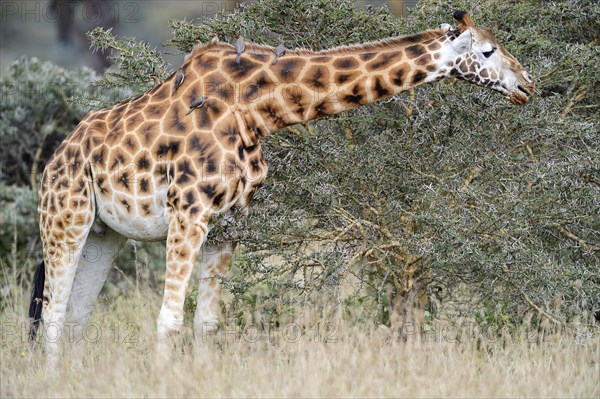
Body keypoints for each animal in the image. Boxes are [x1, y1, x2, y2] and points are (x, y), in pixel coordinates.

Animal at [28, 10, 536, 360]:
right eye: (487, 52)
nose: (528, 84)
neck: (258, 109)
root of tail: (54, 161)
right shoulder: (188, 212)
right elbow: (169, 319)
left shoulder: (230, 223)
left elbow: (207, 323)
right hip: (65, 219)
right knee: (51, 314)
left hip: (104, 233)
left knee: (74, 317)